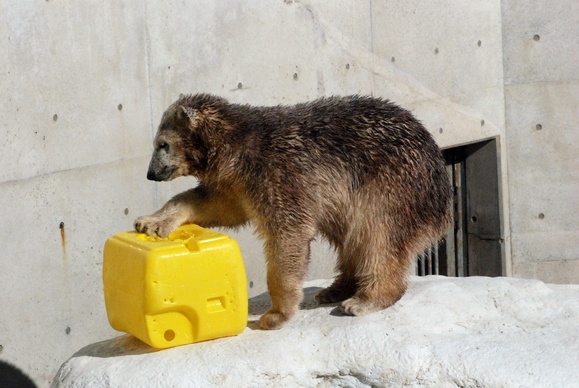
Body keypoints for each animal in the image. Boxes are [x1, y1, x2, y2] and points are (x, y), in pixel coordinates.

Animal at [135, 92, 454, 328]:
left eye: (162, 144)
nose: (150, 174)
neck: (237, 144)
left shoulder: (279, 173)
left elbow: (288, 234)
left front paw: (275, 315)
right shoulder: (237, 182)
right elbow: (216, 205)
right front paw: (151, 221)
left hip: (390, 187)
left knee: (377, 237)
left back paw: (363, 300)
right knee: (351, 237)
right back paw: (335, 288)